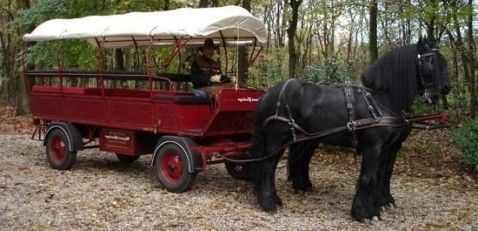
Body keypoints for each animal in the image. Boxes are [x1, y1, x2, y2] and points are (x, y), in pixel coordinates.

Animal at [250, 38, 452, 222]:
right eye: (431, 61)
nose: (446, 87)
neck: (382, 99)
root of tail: (269, 93)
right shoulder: (374, 146)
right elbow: (369, 177)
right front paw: (365, 213)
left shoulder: (390, 146)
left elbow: (383, 174)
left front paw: (382, 203)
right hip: (277, 138)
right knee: (267, 167)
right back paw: (269, 202)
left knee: (287, 163)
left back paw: (289, 192)